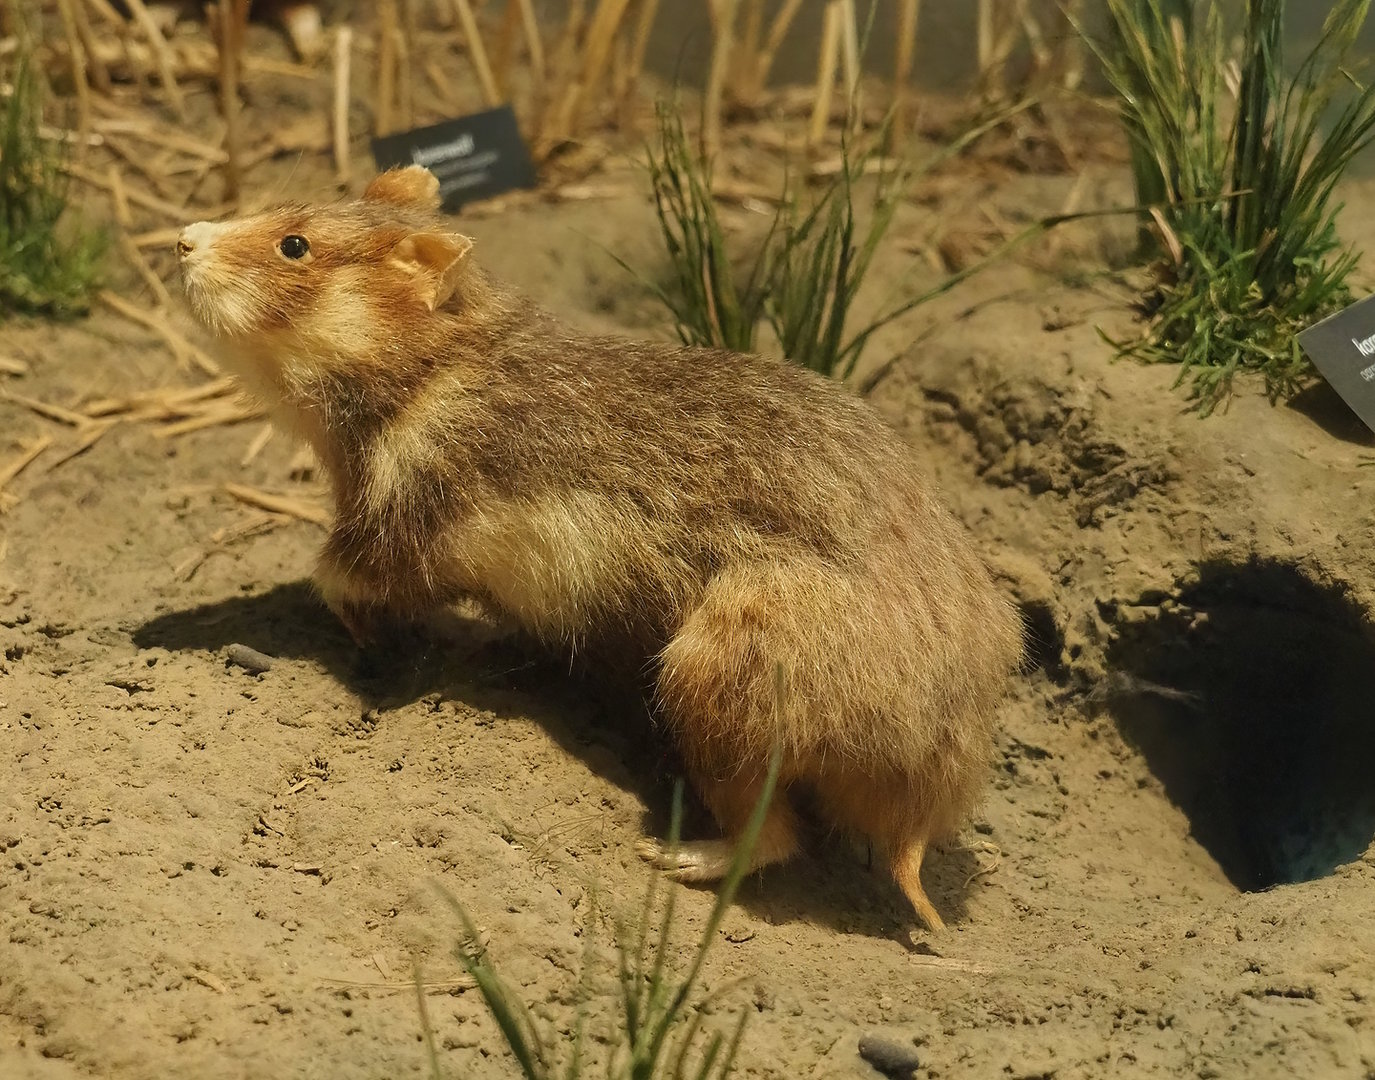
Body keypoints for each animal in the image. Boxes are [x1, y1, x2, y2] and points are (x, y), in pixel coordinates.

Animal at [176, 165, 1023, 931]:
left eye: (294, 246)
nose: (183, 238)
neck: (441, 367)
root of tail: (925, 794)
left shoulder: (402, 532)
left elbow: (336, 579)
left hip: (707, 689)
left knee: (774, 839)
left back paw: (679, 856)